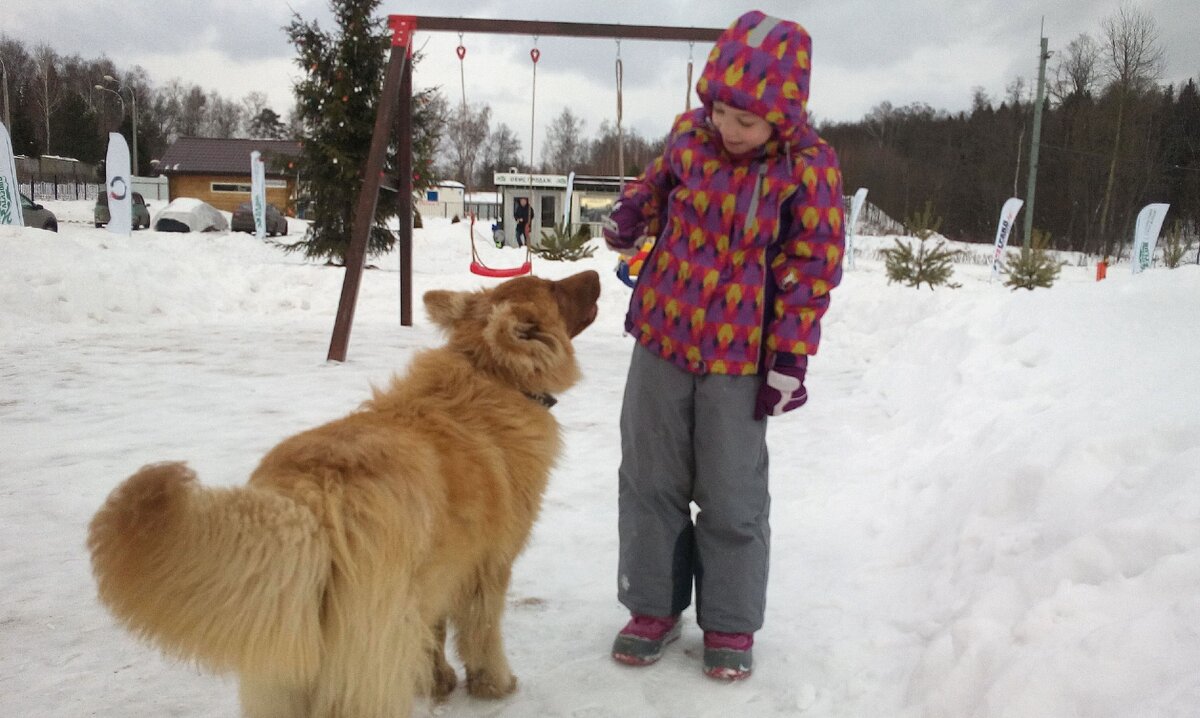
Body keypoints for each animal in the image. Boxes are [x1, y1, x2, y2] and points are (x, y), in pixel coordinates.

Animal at [87, 271, 600, 718]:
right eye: (555, 288)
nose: (596, 272)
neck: (489, 374)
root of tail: (312, 497)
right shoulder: (486, 569)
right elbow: (482, 634)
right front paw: (495, 685)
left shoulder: (439, 572)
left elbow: (434, 634)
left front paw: (438, 681)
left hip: (290, 653)